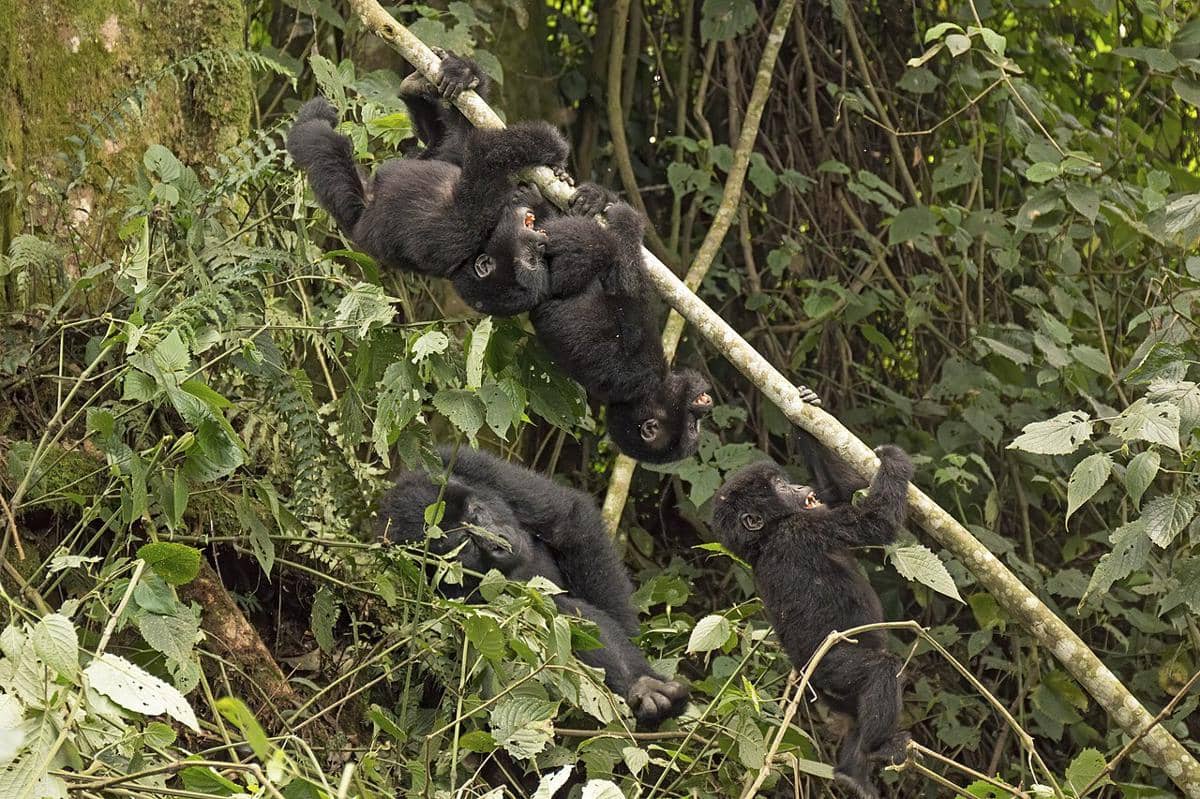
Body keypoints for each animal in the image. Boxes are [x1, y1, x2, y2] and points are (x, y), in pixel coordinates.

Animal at [710, 387, 914, 798]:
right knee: (880, 670)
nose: (800, 487)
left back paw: (855, 764)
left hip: (836, 695)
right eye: (779, 489)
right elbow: (874, 521)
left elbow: (837, 493)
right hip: (831, 672)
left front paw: (804, 415)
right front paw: (893, 459)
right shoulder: (803, 530)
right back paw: (868, 757)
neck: (766, 539)